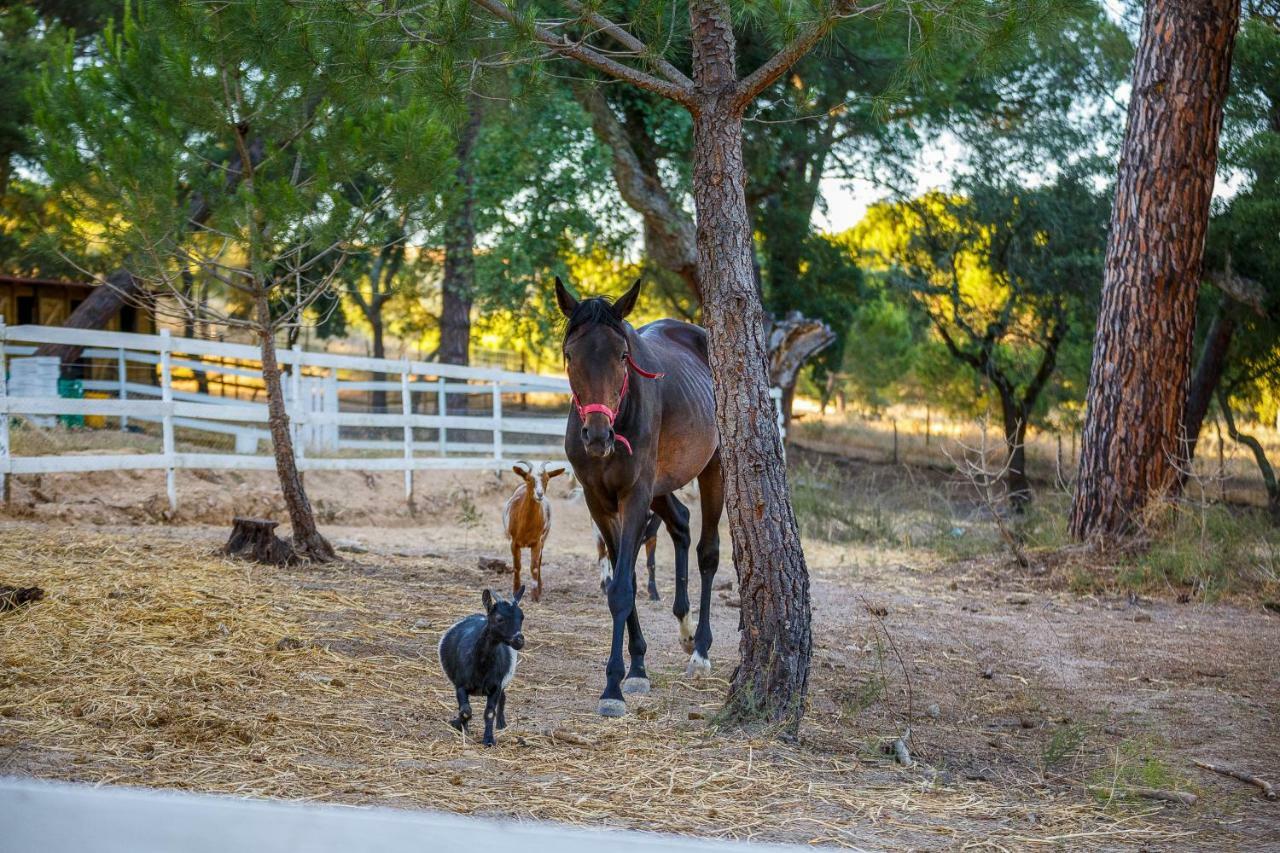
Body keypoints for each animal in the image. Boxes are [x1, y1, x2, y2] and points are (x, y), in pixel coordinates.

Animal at [437, 584, 522, 742]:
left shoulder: (496, 686)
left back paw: (501, 724)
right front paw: (458, 725)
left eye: (522, 617)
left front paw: (488, 739)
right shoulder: (460, 685)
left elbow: (489, 712)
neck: (481, 667)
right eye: (499, 618)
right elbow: (465, 710)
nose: (519, 640)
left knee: (503, 697)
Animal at [501, 461, 563, 601]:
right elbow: (517, 567)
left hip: (544, 540)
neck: (526, 525)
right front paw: (515, 591)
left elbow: (534, 567)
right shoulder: (513, 542)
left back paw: (539, 588)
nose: (539, 494)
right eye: (529, 478)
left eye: (547, 479)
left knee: (539, 563)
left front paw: (535, 596)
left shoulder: (537, 543)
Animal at [555, 275, 727, 712]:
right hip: (660, 486)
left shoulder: (633, 495)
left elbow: (621, 589)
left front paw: (613, 686)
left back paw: (701, 650)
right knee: (681, 524)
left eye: (622, 355)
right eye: (569, 353)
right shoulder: (599, 500)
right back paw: (684, 628)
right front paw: (637, 668)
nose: (597, 436)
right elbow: (624, 578)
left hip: (711, 469)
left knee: (707, 552)